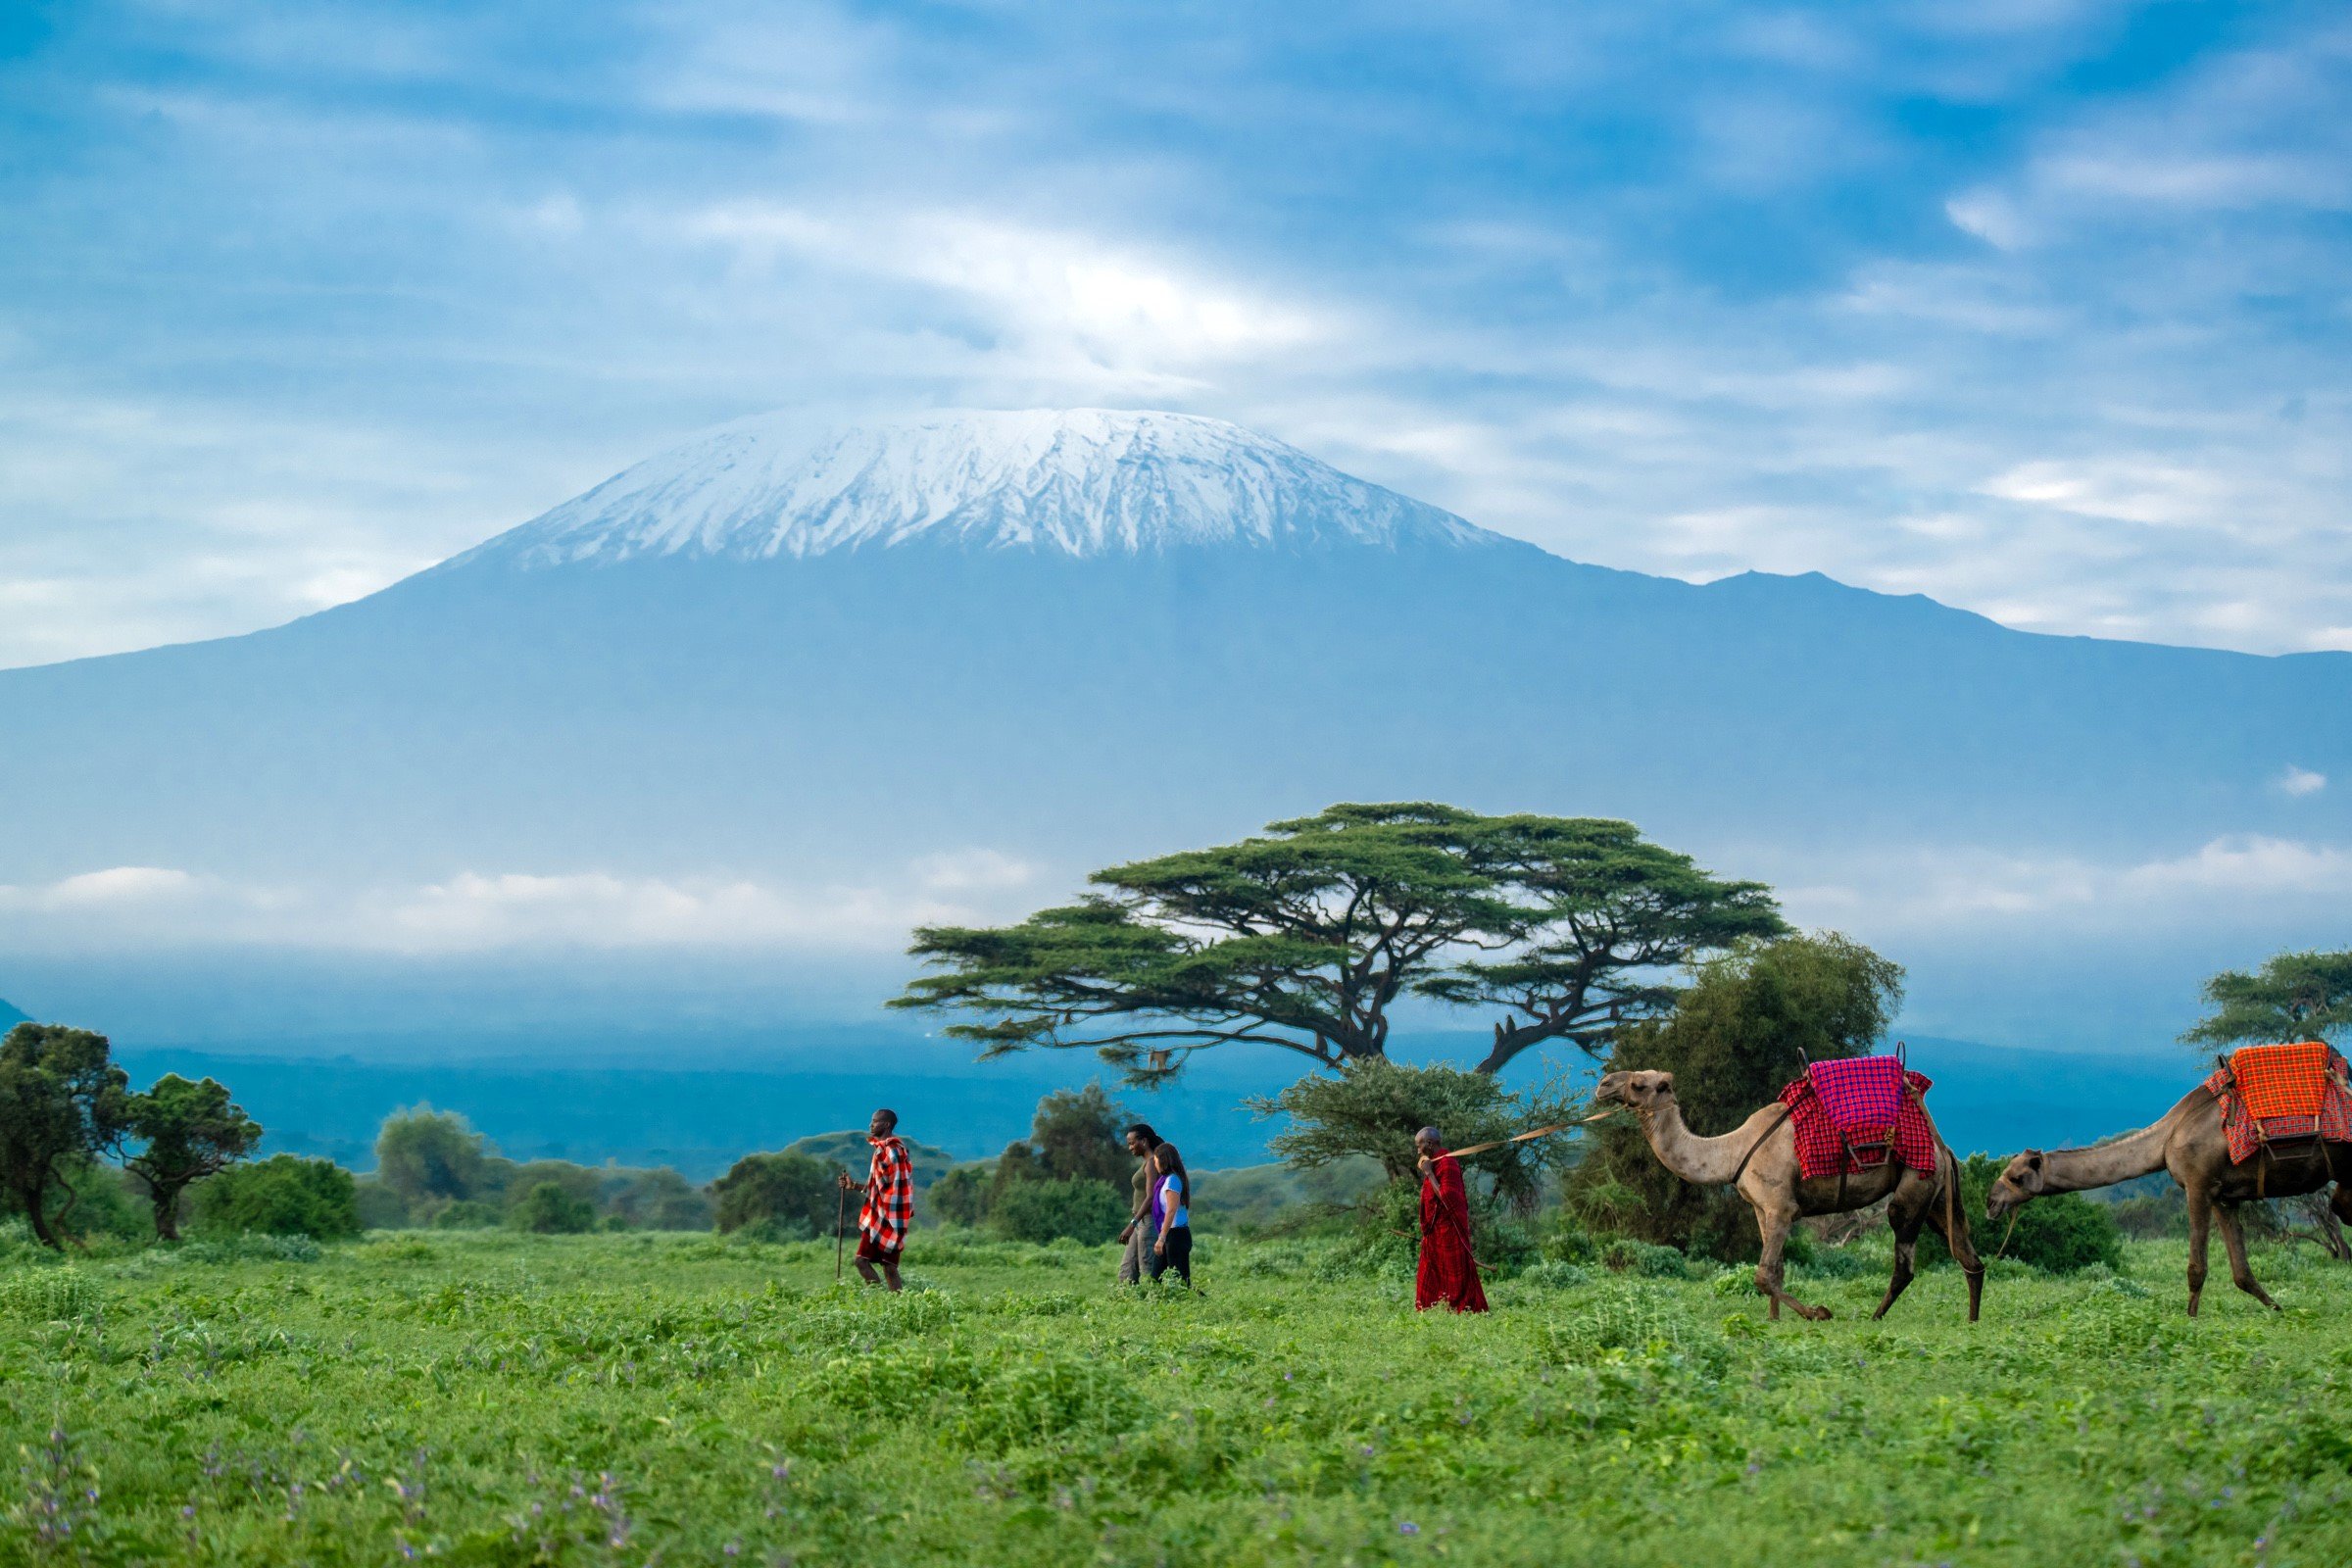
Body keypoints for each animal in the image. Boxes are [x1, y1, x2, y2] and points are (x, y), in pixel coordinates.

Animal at [1580, 1067, 1984, 1325]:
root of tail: (1942, 1147)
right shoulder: (1762, 1209)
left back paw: (1874, 1316)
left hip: (1915, 1184)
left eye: (1638, 1084)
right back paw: (1972, 1321)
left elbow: (1762, 1275)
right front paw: (1774, 1320)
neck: (1731, 1152)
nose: (1602, 1083)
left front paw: (1818, 1313)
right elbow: (1777, 1269)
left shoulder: (1780, 1207)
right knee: (1969, 1257)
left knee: (1904, 1258)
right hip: (1938, 1195)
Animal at [1984, 1086, 2352, 1316]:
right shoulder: (2224, 1196)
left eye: (2016, 1176)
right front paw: (2279, 1309)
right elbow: (2241, 1272)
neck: (2165, 1139)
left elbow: (2196, 1267)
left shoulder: (2197, 1184)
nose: (1990, 1202)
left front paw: (2190, 1319)